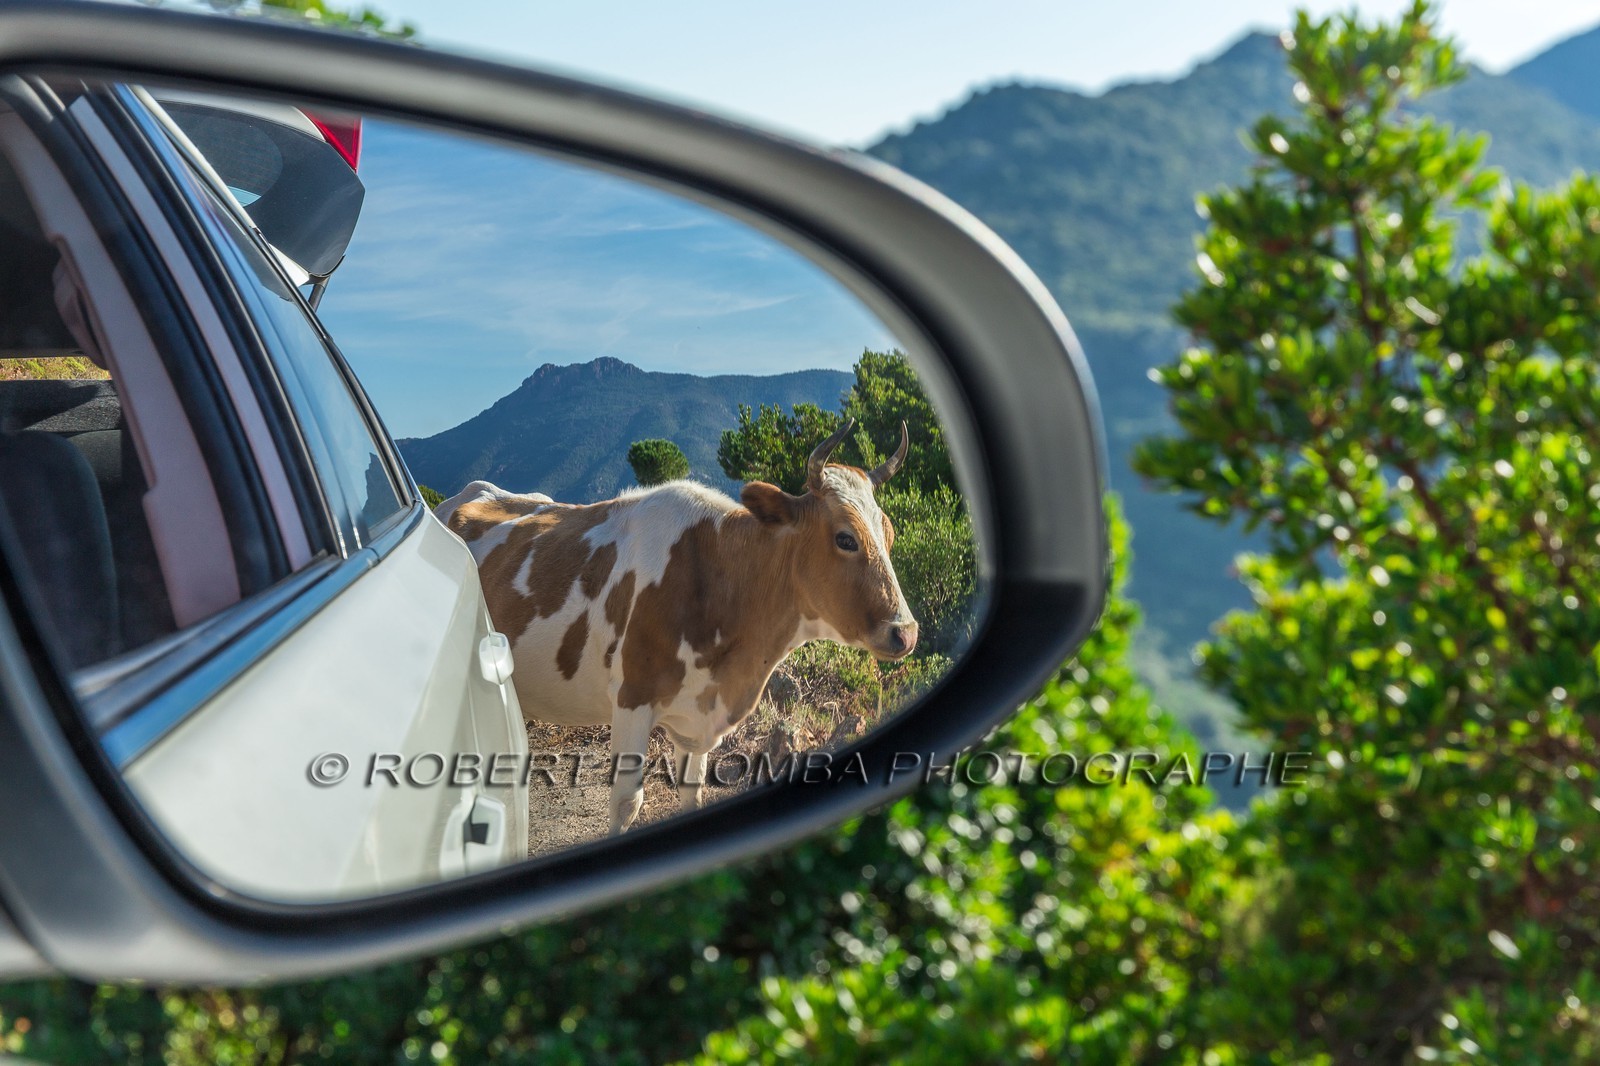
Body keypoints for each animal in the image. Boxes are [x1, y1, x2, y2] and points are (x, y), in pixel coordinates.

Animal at [435, 418, 917, 833]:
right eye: (845, 538)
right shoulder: (632, 698)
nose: (906, 632)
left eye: (890, 535)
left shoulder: (696, 716)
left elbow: (693, 794)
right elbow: (626, 803)